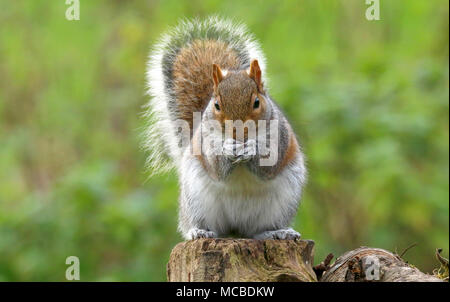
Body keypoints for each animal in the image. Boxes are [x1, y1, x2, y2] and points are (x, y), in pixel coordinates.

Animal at [144, 17, 306, 241]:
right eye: (217, 105)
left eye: (256, 102)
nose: (237, 134)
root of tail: (235, 229)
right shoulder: (205, 141)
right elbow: (216, 166)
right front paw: (228, 149)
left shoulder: (280, 136)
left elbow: (268, 165)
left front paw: (252, 148)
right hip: (196, 200)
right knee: (198, 225)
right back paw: (198, 231)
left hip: (283, 200)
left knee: (256, 232)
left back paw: (276, 232)